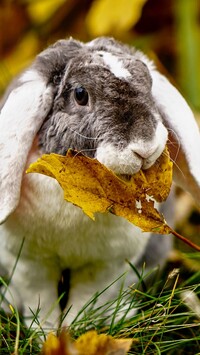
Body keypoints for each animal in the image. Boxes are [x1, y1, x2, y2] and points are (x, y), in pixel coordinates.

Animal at [0, 36, 200, 330]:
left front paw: (74, 330)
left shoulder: (107, 265)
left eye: (149, 83)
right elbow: (41, 300)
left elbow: (87, 300)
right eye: (80, 94)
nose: (145, 147)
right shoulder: (28, 262)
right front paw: (45, 333)